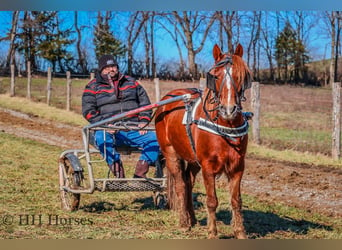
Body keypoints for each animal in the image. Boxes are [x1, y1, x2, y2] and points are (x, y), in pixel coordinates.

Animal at [154, 44, 251, 239]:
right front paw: (212, 233)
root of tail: (167, 99)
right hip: (170, 152)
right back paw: (184, 222)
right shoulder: (208, 166)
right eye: (215, 75)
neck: (225, 125)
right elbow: (212, 200)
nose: (229, 109)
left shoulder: (237, 166)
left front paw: (240, 233)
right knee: (180, 185)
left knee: (188, 183)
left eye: (241, 75)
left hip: (193, 159)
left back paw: (191, 218)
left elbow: (236, 201)